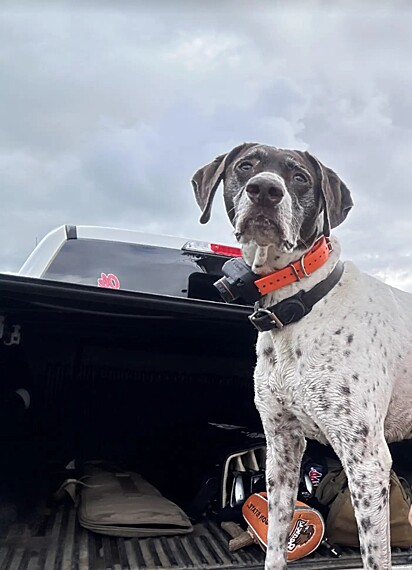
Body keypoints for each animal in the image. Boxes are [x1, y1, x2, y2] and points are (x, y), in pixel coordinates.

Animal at [192, 140, 412, 564]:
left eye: (299, 177)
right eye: (245, 166)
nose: (264, 190)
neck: (297, 306)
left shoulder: (367, 460)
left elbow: (373, 555)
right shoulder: (281, 445)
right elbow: (276, 541)